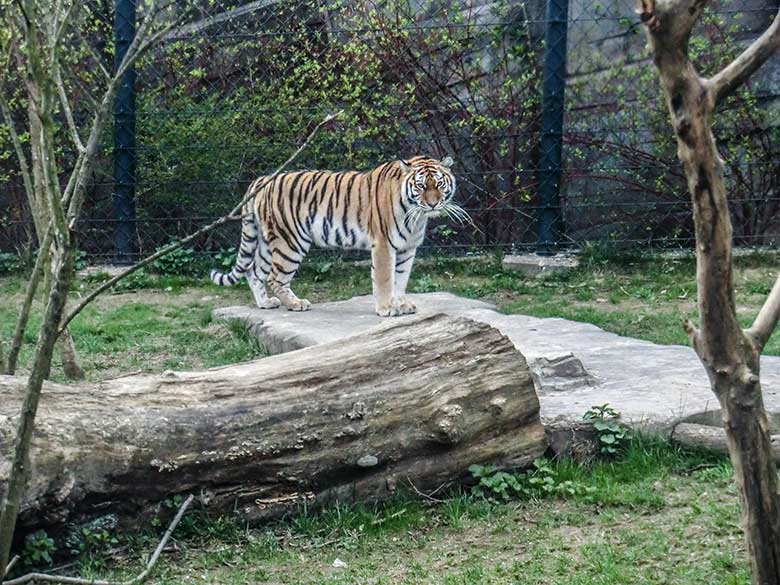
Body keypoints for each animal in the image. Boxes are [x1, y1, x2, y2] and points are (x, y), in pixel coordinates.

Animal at [209, 156, 464, 314]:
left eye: (439, 184)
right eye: (420, 186)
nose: (433, 204)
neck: (416, 216)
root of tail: (261, 179)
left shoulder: (407, 248)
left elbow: (400, 279)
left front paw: (402, 304)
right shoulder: (383, 245)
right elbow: (384, 279)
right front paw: (386, 308)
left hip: (266, 241)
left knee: (253, 271)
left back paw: (265, 303)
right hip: (290, 241)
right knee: (275, 277)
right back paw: (295, 303)